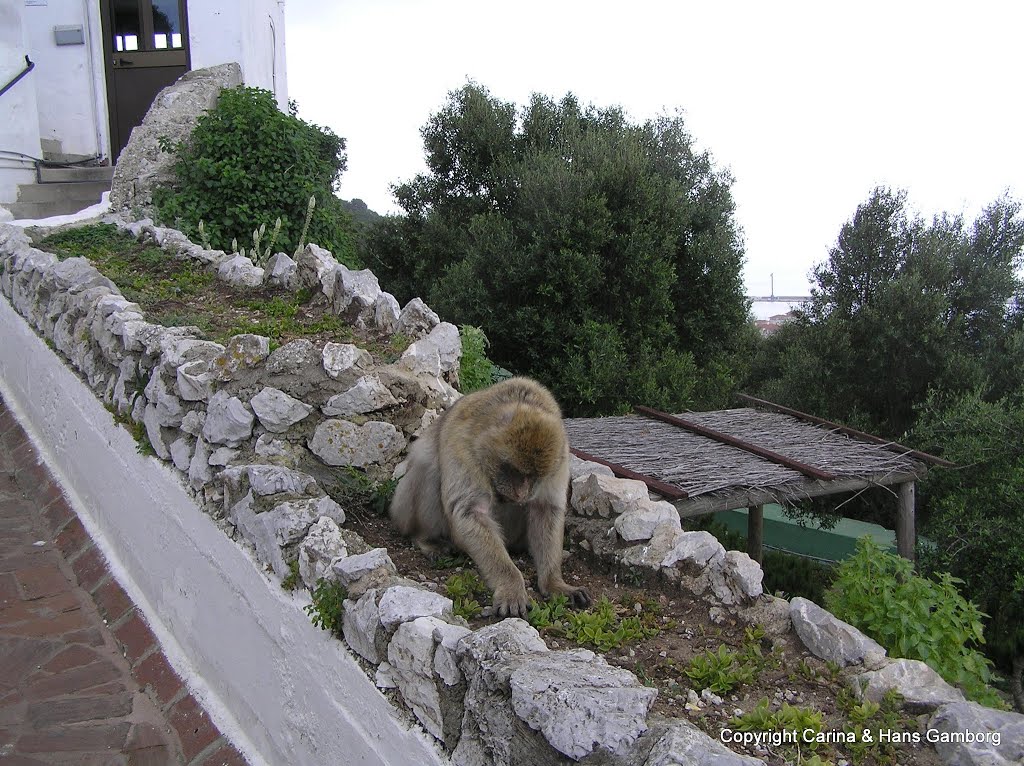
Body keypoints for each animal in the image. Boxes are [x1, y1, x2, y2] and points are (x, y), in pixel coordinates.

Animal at [387, 376, 589, 614]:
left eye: (533, 476)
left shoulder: (560, 457)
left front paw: (554, 583)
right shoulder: (464, 448)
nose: (521, 493)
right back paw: (426, 539)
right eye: (513, 471)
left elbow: (546, 509)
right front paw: (511, 586)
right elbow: (472, 511)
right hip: (403, 512)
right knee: (427, 467)